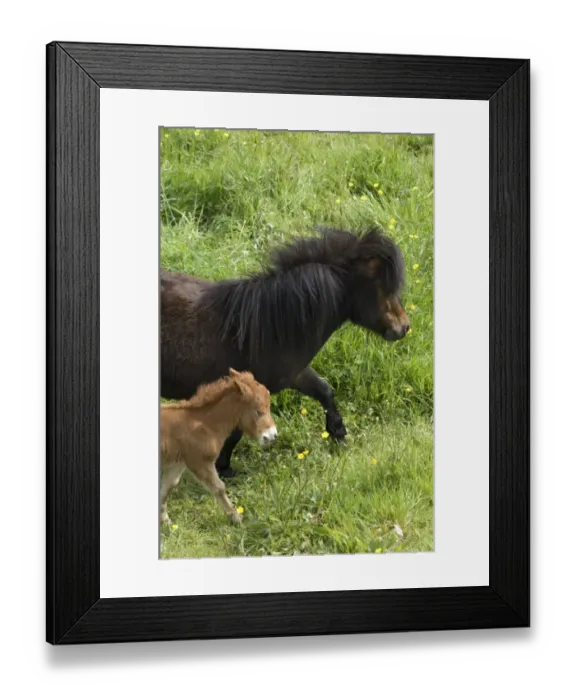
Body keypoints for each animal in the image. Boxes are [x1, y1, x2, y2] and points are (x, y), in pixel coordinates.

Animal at [160, 227, 410, 478]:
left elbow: (325, 392)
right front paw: (224, 467)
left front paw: (338, 435)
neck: (266, 327)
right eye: (383, 287)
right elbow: (236, 431)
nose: (404, 327)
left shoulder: (295, 374)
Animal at [160, 369, 277, 526]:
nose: (272, 436)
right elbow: (219, 487)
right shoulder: (200, 462)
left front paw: (166, 522)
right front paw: (236, 518)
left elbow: (167, 488)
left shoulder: (177, 464)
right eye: (258, 411)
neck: (204, 424)